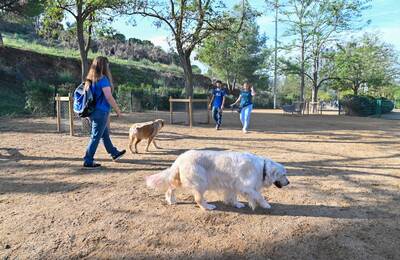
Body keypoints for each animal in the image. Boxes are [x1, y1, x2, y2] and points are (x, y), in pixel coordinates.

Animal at [145, 149, 290, 210]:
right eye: (283, 174)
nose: (288, 182)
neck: (262, 168)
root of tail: (180, 158)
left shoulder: (233, 184)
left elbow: (232, 196)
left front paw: (236, 204)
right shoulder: (246, 187)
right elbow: (259, 196)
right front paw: (266, 205)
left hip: (182, 180)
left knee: (170, 188)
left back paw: (171, 200)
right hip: (200, 182)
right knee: (198, 199)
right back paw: (208, 207)